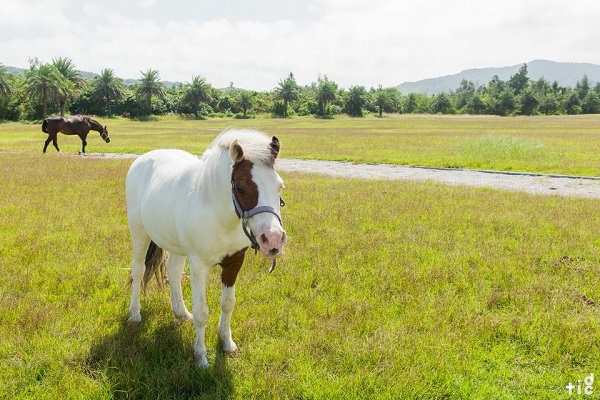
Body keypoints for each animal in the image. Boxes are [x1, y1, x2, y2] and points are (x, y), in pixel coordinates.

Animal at [125, 130, 288, 368]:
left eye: (279, 186)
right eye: (240, 187)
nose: (273, 239)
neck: (218, 215)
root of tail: (143, 159)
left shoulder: (234, 262)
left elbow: (228, 303)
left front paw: (227, 343)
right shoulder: (199, 267)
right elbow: (202, 313)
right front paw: (201, 357)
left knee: (173, 271)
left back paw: (181, 313)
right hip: (139, 235)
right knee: (138, 271)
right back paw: (135, 314)